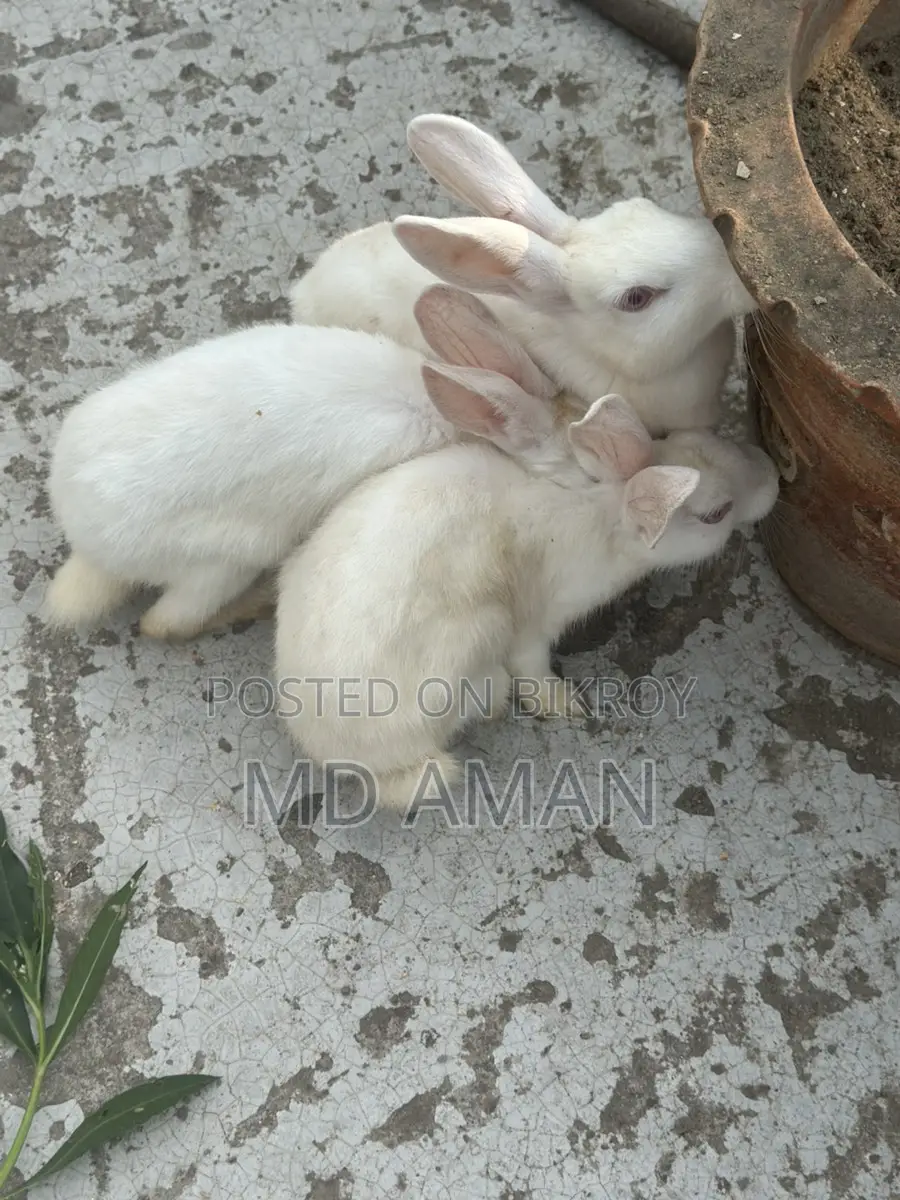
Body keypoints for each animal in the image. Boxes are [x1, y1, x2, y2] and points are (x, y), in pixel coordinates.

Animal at [274, 369, 779, 815]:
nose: (774, 478)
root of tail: (349, 756)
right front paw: (568, 706)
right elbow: (533, 670)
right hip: (479, 635)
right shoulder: (536, 625)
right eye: (716, 514)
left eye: (682, 437)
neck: (604, 519)